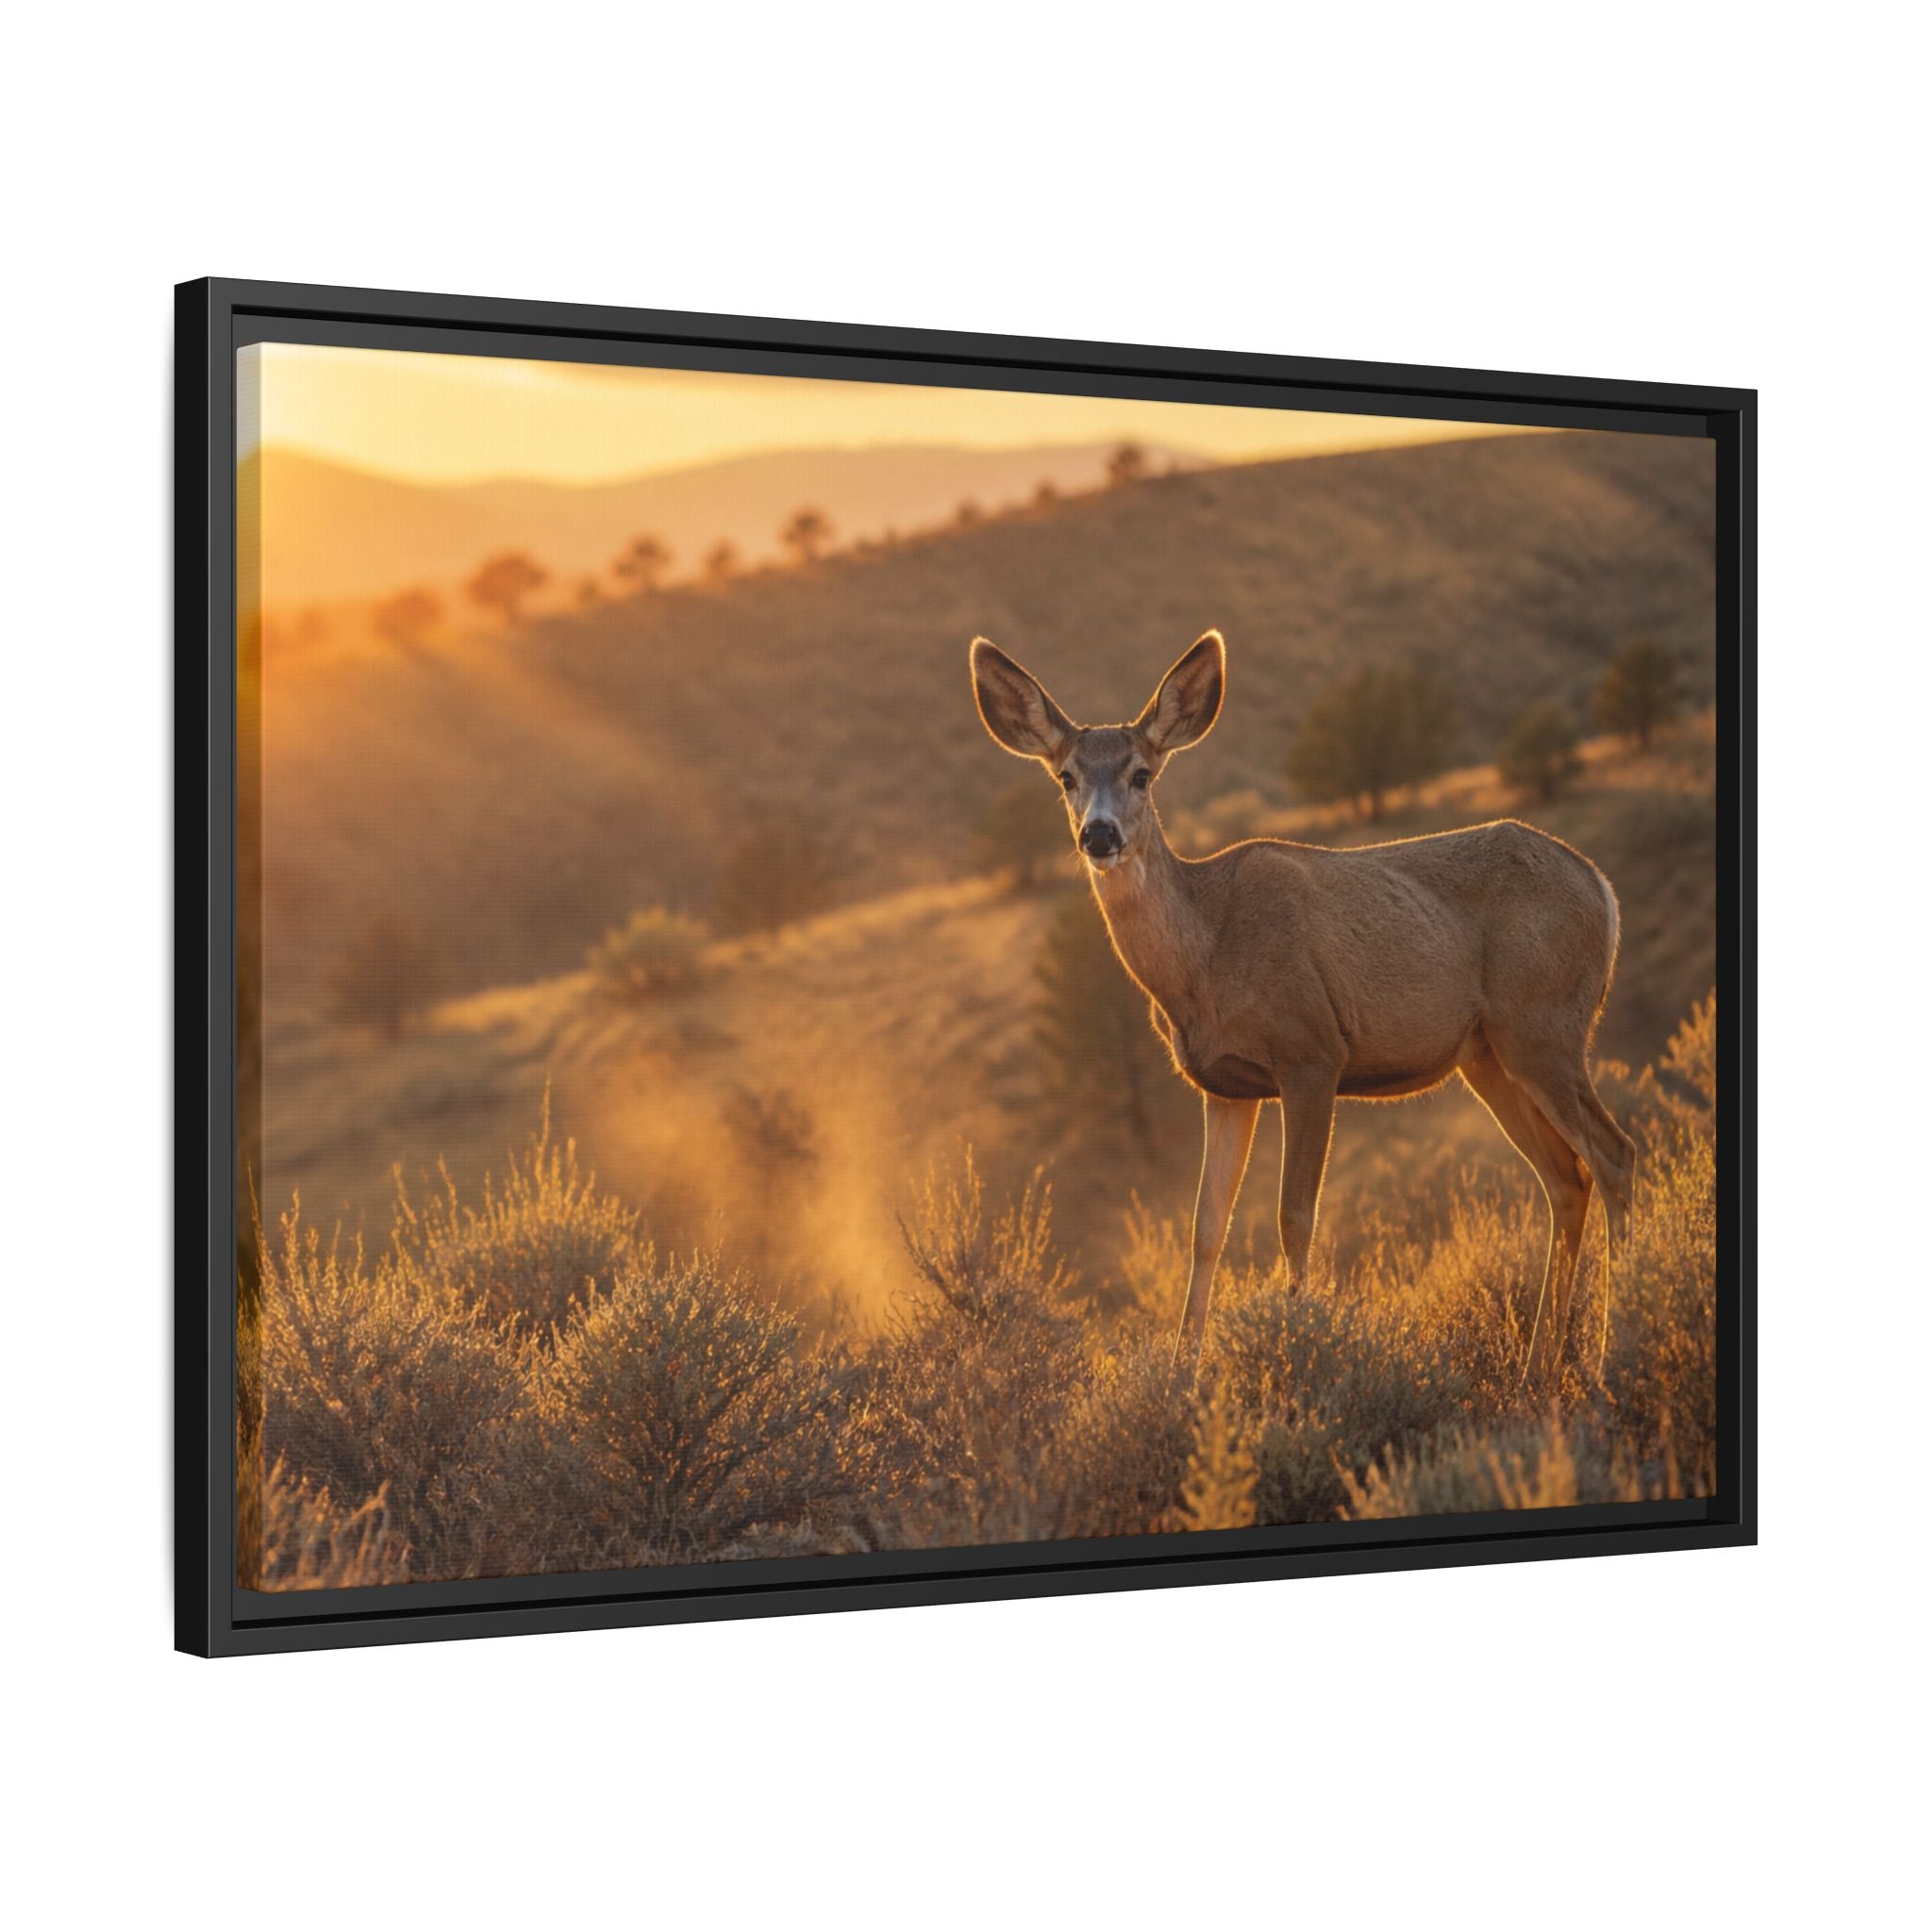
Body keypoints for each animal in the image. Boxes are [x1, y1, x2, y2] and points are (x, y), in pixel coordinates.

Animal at [970, 628, 1636, 1388]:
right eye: (1066, 777)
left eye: (1142, 774)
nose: (1100, 835)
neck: (1206, 957)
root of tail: (1602, 889)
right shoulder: (1225, 1086)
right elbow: (1206, 1228)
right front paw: (1184, 1374)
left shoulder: (1312, 1051)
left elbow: (1295, 1216)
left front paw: (1299, 1353)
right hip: (1489, 1054)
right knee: (1566, 1178)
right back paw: (1537, 1370)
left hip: (1544, 1025)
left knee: (1614, 1156)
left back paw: (1612, 1355)